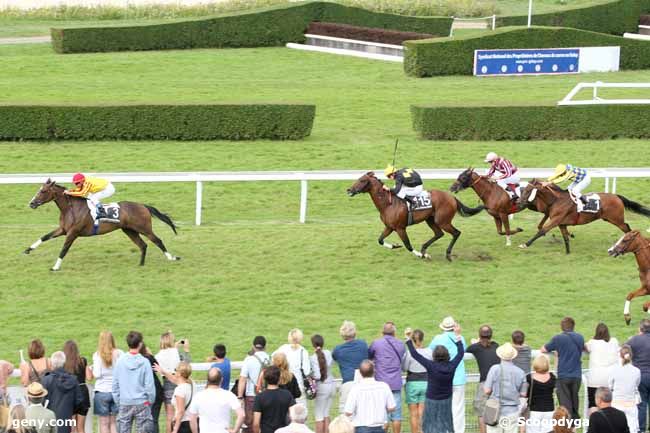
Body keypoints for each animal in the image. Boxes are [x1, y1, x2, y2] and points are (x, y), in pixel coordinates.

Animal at [25, 179, 180, 270]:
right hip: (129, 230)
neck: (71, 208)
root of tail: (143, 206)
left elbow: (64, 250)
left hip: (144, 228)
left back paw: (172, 258)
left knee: (157, 240)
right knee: (143, 245)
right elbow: (44, 237)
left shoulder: (72, 233)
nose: (31, 203)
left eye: (43, 191)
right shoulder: (63, 229)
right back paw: (141, 264)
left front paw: (55, 267)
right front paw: (27, 250)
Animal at [350, 171, 480, 260]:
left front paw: (420, 255)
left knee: (456, 233)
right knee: (439, 233)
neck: (388, 203)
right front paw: (395, 246)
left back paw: (446, 254)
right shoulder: (389, 227)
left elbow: (407, 244)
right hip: (430, 219)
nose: (349, 190)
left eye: (362, 180)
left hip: (443, 221)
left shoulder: (400, 228)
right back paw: (424, 249)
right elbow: (380, 240)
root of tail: (452, 197)